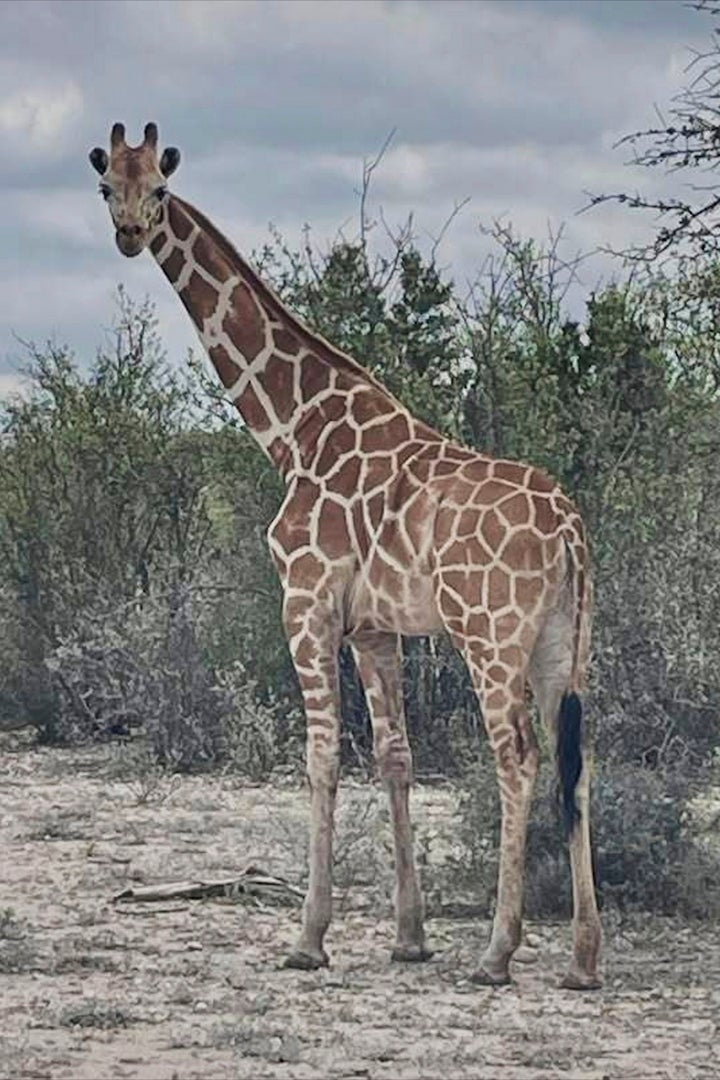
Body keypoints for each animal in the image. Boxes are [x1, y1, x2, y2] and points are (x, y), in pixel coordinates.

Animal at [89, 123, 602, 990]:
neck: (293, 428)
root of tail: (569, 527)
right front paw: (409, 936)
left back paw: (498, 952)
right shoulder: (374, 626)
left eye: (158, 186)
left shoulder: (306, 601)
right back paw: (583, 958)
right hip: (564, 642)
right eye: (106, 187)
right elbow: (395, 756)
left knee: (519, 757)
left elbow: (322, 755)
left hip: (490, 635)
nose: (128, 234)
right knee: (578, 758)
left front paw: (308, 937)